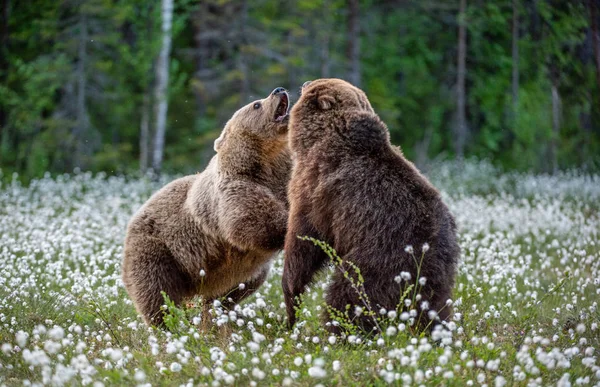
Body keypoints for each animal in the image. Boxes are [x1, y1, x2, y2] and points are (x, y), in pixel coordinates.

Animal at [122, 88, 290, 328]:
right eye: (257, 104)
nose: (279, 90)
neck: (266, 163)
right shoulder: (232, 191)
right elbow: (253, 221)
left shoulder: (283, 180)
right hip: (158, 250)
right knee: (156, 290)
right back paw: (169, 325)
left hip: (232, 276)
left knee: (236, 289)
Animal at [282, 78, 460, 334]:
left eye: (315, 85)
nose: (305, 82)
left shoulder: (314, 188)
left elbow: (303, 240)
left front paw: (290, 302)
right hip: (440, 277)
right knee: (437, 308)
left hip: (377, 260)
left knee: (348, 294)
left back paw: (340, 329)